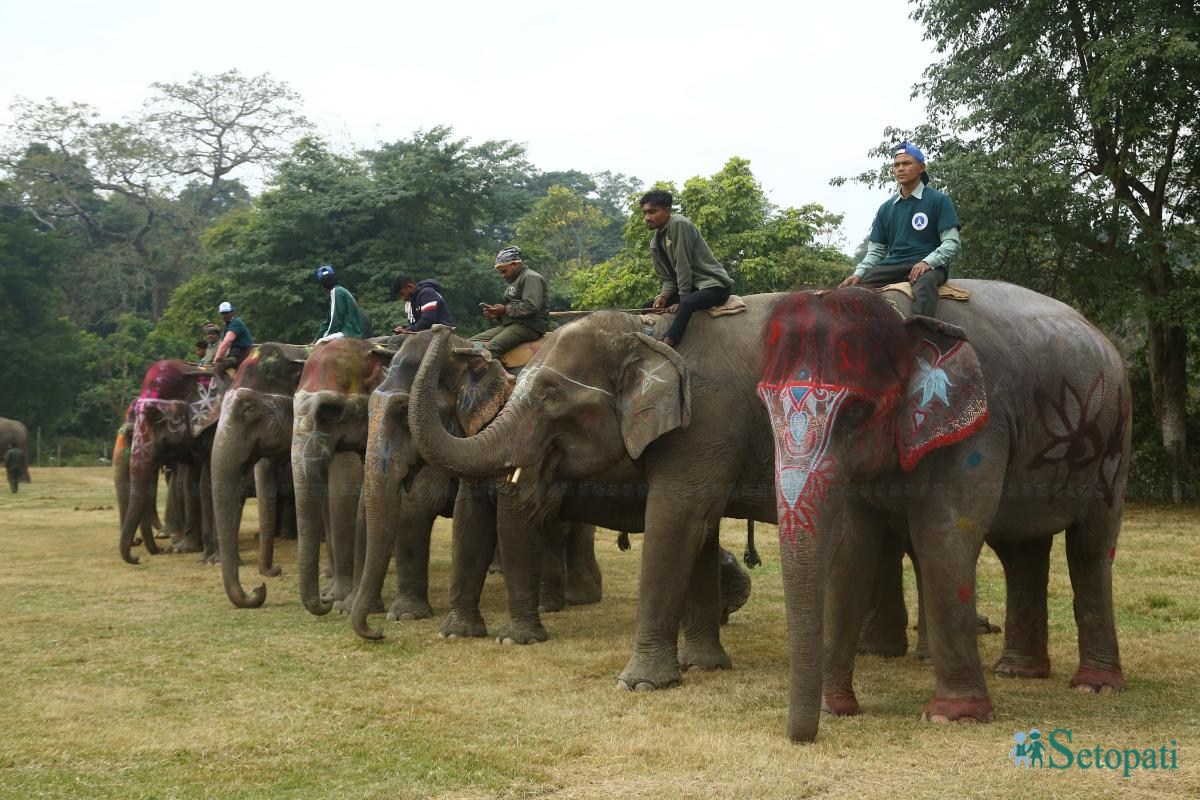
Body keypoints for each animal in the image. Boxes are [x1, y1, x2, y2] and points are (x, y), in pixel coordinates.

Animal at [753, 284, 1128, 743]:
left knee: (1091, 547)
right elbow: (852, 549)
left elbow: (944, 536)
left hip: (1112, 438)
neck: (899, 318)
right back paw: (1017, 673)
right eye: (764, 407)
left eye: (857, 411)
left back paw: (1095, 686)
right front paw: (835, 708)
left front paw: (953, 717)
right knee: (1021, 552)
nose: (802, 738)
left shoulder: (980, 425)